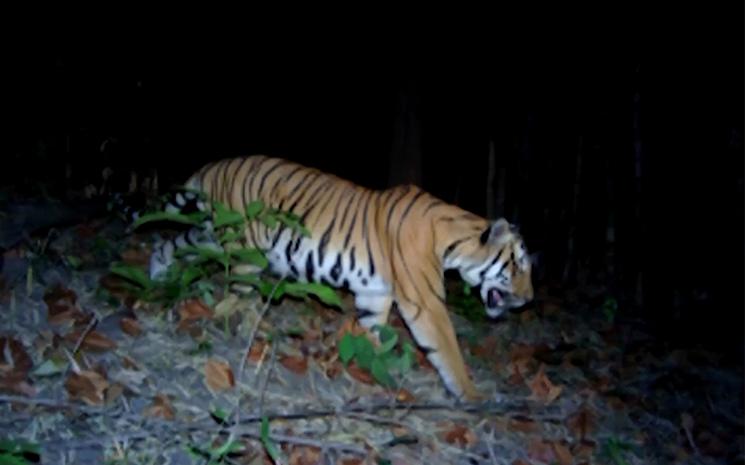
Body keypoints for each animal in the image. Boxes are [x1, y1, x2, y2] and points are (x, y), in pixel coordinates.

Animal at [146, 155, 534, 401]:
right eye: (517, 267)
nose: (530, 299)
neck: (454, 242)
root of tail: (216, 164)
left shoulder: (375, 293)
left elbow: (373, 333)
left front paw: (373, 368)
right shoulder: (425, 302)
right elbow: (448, 349)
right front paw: (473, 395)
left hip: (211, 235)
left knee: (172, 243)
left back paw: (157, 274)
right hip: (244, 251)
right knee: (238, 295)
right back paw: (249, 331)